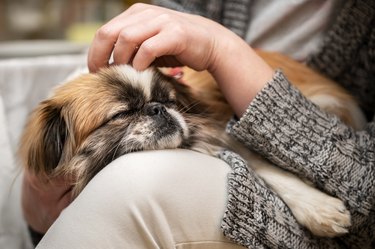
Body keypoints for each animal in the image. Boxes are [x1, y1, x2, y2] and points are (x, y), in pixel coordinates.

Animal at [18, 50, 368, 237]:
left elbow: (266, 167)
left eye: (167, 100)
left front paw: (318, 208)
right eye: (122, 113)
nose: (158, 109)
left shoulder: (224, 133)